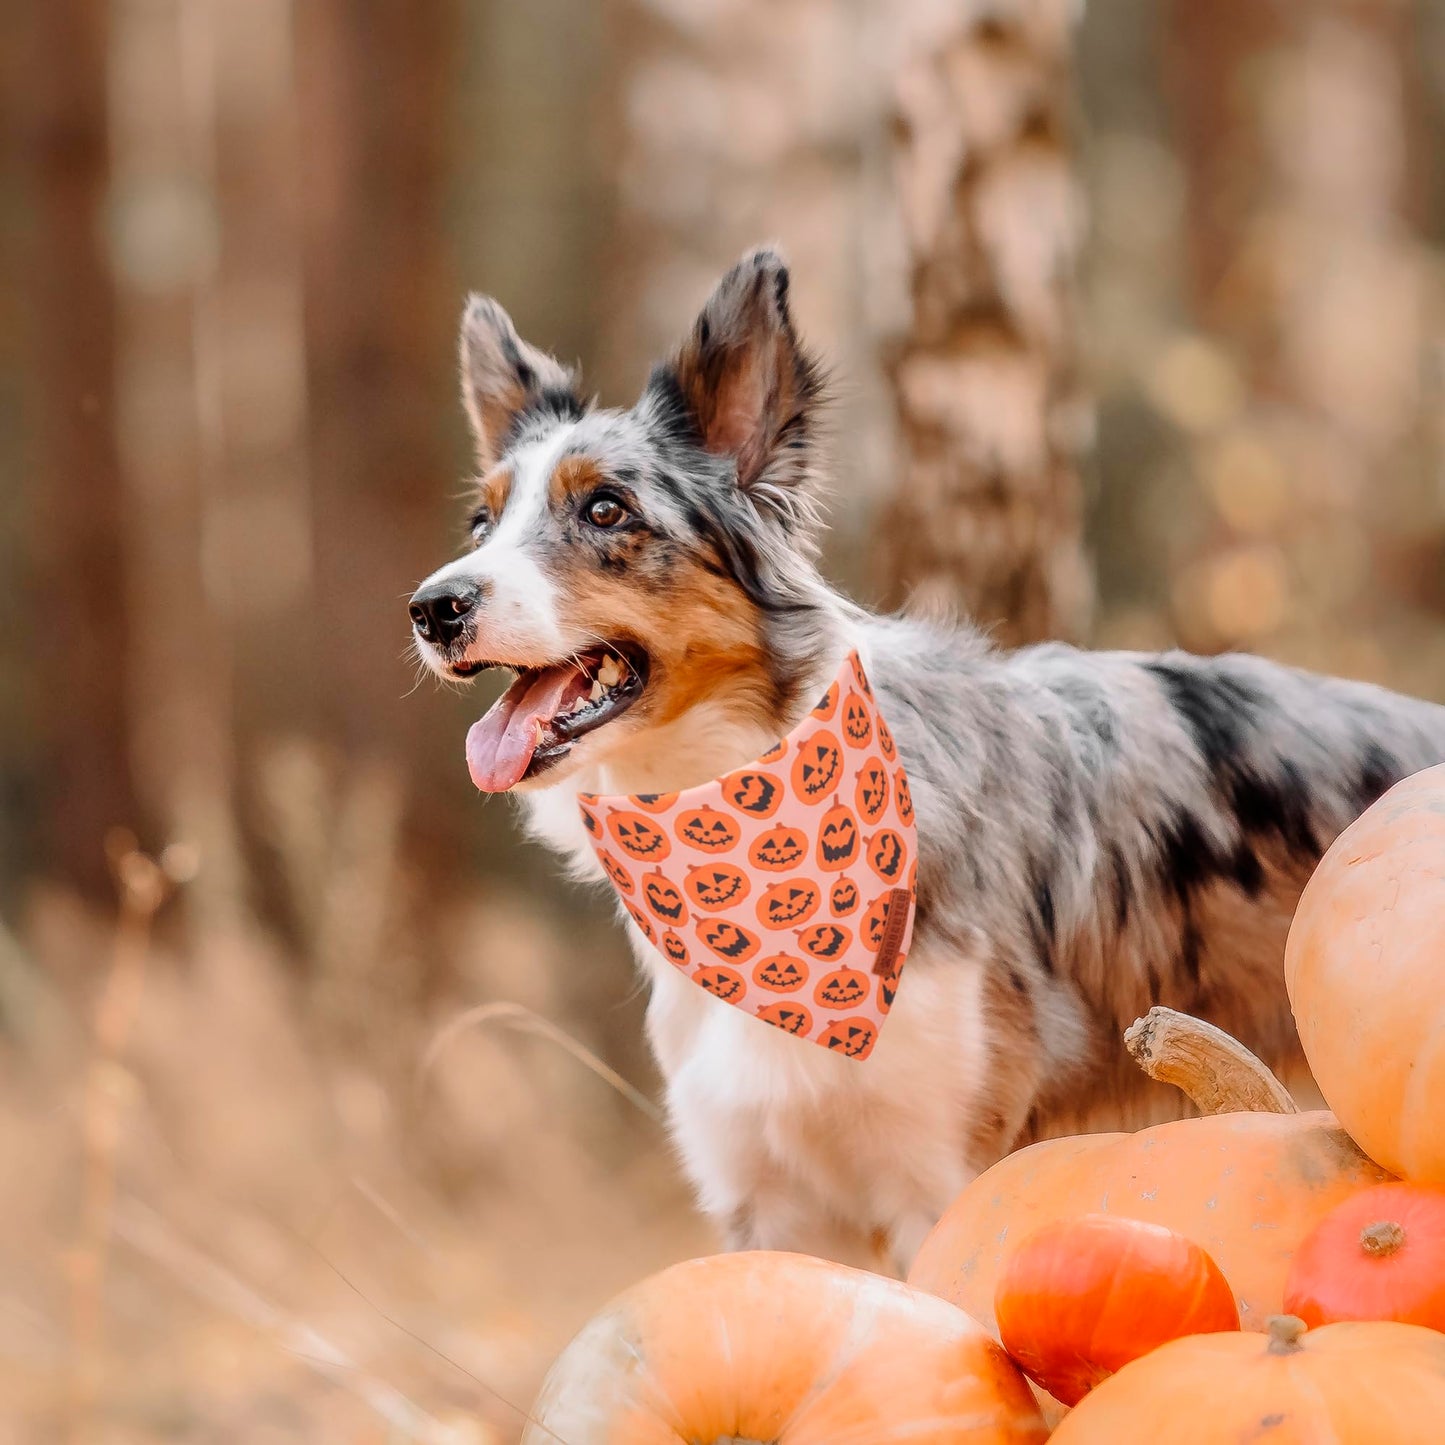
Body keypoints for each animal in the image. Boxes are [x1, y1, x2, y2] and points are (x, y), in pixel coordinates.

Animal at [407, 254, 1445, 1271]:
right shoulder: (767, 1200)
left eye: (606, 508)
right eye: (479, 524)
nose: (432, 608)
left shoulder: (947, 1172)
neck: (744, 795)